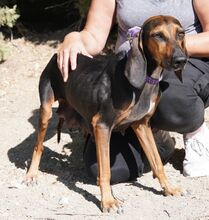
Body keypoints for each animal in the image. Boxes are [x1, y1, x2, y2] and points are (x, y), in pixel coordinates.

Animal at [25, 15, 187, 213]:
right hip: (46, 112)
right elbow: (105, 171)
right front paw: (109, 201)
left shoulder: (141, 125)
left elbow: (157, 162)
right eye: (158, 35)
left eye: (180, 33)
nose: (181, 60)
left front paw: (169, 188)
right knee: (38, 146)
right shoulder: (102, 125)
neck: (145, 83)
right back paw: (32, 174)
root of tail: (56, 55)